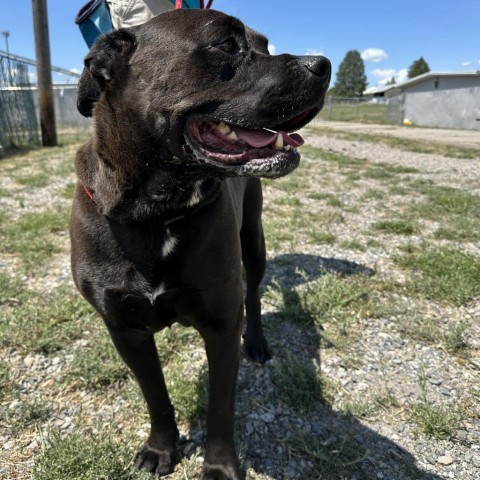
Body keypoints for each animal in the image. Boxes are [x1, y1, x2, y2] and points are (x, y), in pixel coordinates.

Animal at [72, 8, 330, 480]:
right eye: (227, 45)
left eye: (265, 45)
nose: (323, 64)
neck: (156, 216)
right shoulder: (125, 331)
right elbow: (155, 396)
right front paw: (160, 448)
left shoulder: (223, 326)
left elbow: (220, 408)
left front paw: (220, 466)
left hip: (254, 243)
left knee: (254, 296)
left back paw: (258, 343)